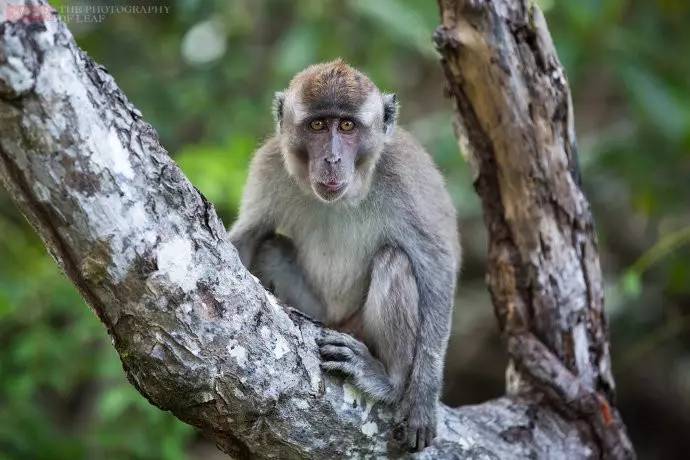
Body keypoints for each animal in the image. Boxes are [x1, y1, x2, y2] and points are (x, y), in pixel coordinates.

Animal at [228, 59, 460, 452]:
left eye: (348, 126)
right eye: (318, 125)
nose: (332, 158)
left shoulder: (404, 174)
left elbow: (438, 266)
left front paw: (423, 397)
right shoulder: (270, 166)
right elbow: (248, 237)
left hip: (357, 327)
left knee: (394, 260)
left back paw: (389, 380)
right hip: (323, 313)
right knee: (272, 246)